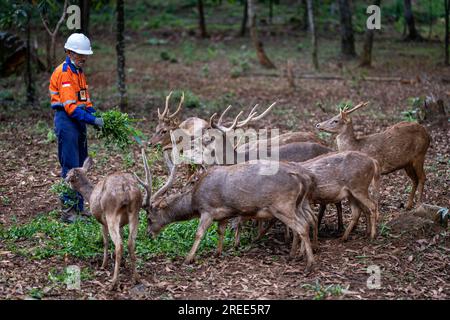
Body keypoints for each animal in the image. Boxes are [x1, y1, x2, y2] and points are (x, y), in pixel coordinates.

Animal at [64, 159, 141, 292]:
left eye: (69, 174)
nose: (65, 179)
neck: (90, 196)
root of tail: (126, 189)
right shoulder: (121, 224)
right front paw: (122, 263)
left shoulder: (101, 221)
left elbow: (105, 241)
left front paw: (103, 265)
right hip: (135, 213)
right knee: (130, 242)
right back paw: (136, 278)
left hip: (111, 213)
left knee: (119, 244)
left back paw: (113, 283)